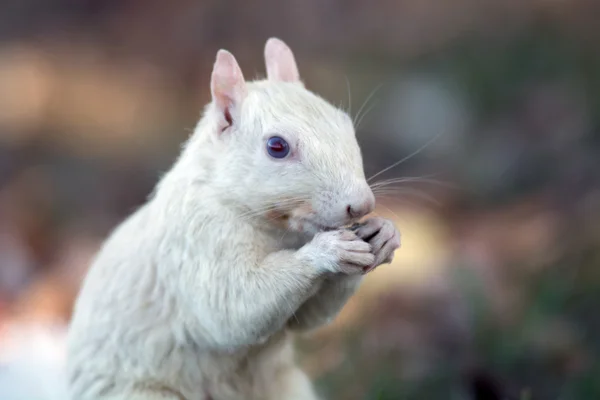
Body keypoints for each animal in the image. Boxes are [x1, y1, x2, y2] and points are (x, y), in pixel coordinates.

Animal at [65, 38, 400, 400]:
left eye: (345, 123)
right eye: (277, 146)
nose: (362, 204)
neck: (278, 230)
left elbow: (308, 319)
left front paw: (385, 232)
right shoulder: (196, 240)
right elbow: (231, 308)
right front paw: (327, 252)